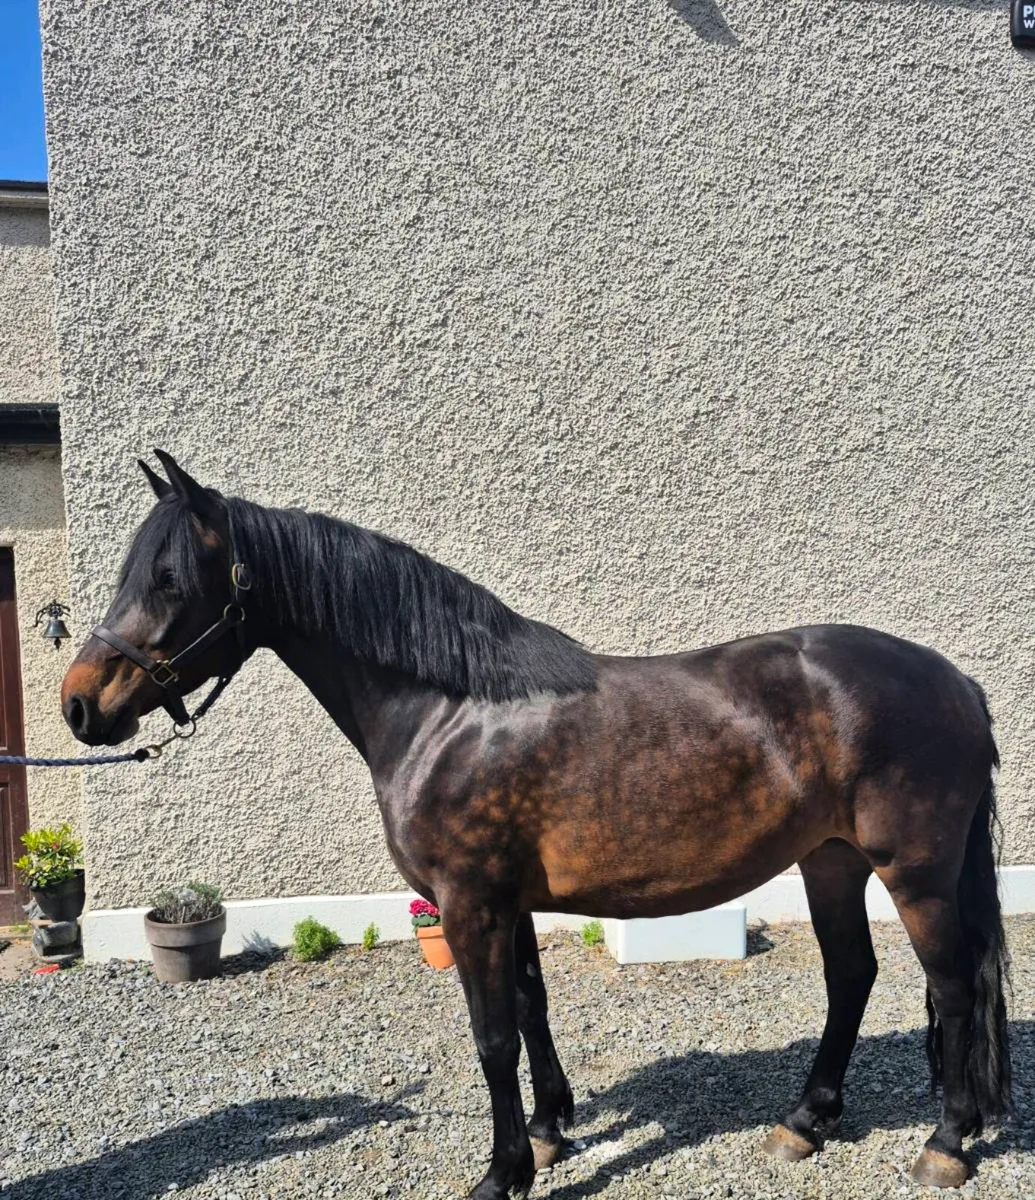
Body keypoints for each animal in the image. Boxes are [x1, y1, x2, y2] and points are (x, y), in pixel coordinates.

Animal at [61, 450, 1011, 1199]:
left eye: (171, 580)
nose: (79, 704)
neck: (447, 710)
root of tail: (956, 683)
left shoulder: (468, 902)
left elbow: (490, 1037)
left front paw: (502, 1171)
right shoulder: (504, 903)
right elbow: (528, 1008)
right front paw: (551, 1135)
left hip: (912, 871)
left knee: (952, 984)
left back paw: (945, 1144)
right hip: (831, 862)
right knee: (852, 977)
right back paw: (805, 1122)